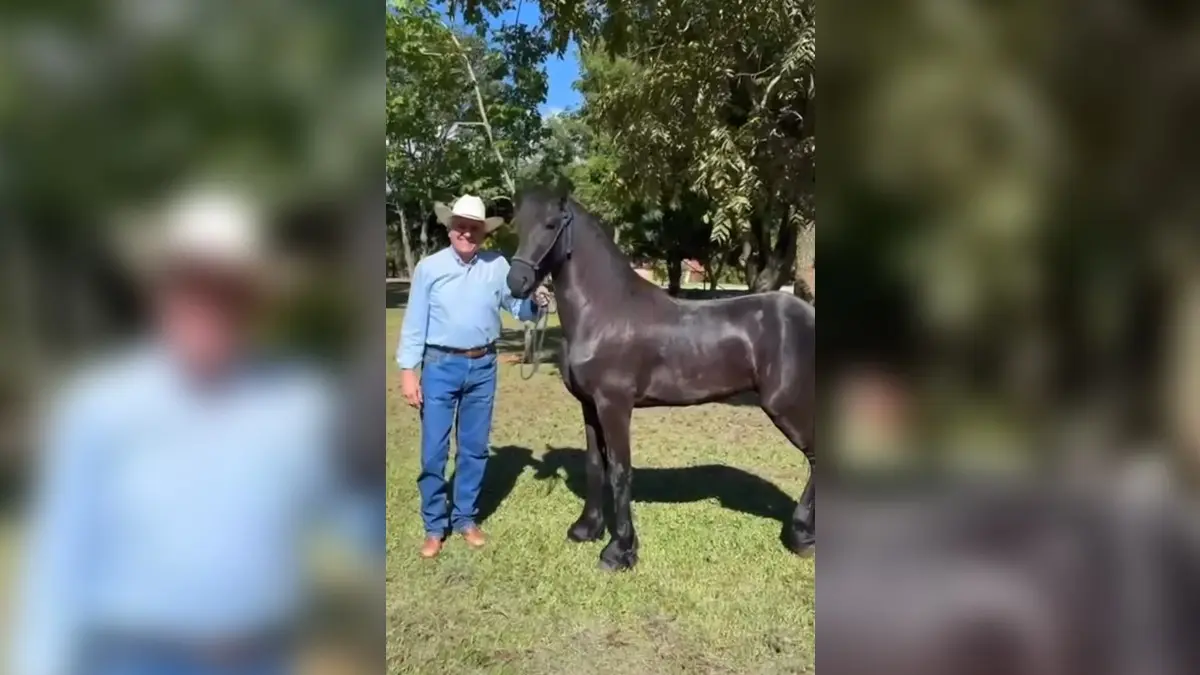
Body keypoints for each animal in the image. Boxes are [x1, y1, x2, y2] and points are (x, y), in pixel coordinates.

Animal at [505, 187, 816, 571]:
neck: (603, 312)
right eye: (519, 225)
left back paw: (801, 536)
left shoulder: (615, 407)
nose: (516, 283)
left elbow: (620, 471)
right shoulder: (590, 406)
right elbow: (595, 465)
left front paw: (619, 550)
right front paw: (586, 529)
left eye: (551, 224)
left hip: (787, 405)